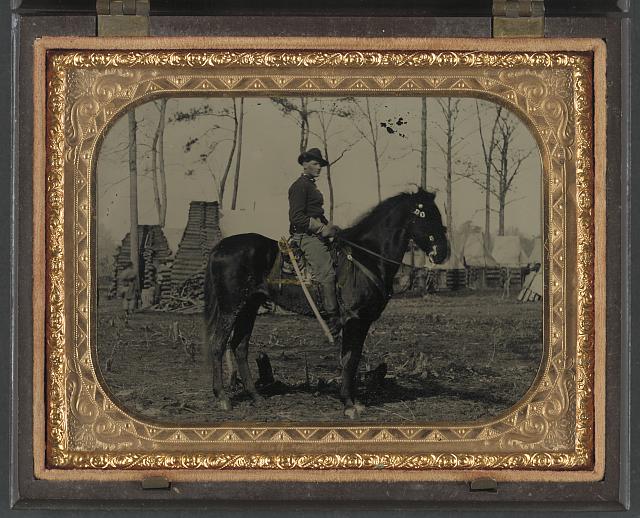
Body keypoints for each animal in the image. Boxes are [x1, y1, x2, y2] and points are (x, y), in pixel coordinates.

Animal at [202, 189, 448, 420]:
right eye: (424, 214)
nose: (443, 252)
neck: (367, 257)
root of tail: (220, 247)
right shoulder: (355, 320)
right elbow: (350, 359)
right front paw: (348, 404)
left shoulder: (362, 322)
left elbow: (351, 358)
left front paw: (353, 401)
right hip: (230, 308)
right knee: (218, 344)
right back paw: (222, 397)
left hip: (249, 307)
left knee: (240, 347)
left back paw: (255, 396)